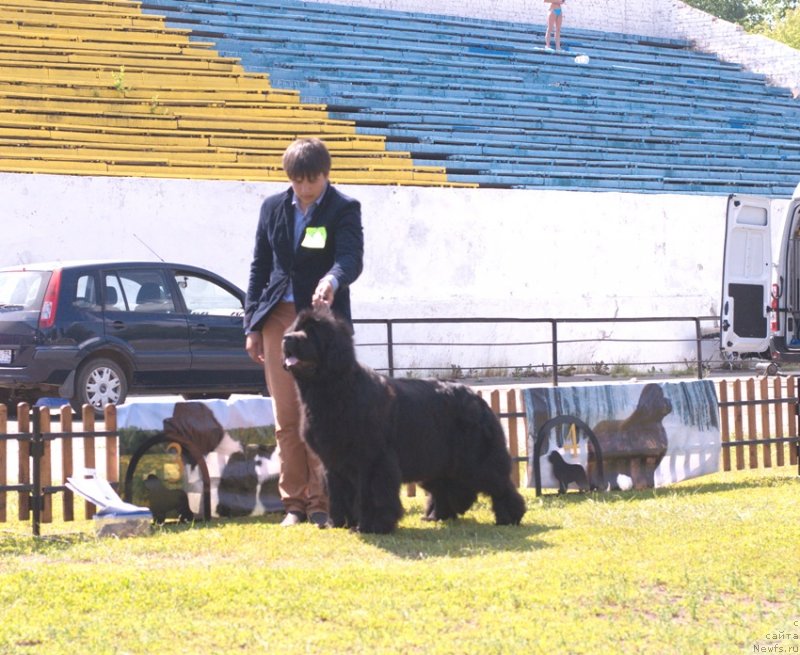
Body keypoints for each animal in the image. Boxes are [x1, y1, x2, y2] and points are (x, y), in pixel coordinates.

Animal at [282, 308, 524, 532]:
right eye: (297, 328)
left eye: (312, 332)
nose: (287, 338)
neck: (335, 389)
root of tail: (477, 397)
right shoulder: (333, 461)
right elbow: (338, 492)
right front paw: (338, 523)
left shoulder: (373, 459)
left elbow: (372, 494)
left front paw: (372, 526)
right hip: (436, 457)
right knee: (444, 485)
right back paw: (437, 516)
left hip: (475, 457)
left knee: (499, 483)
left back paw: (509, 517)